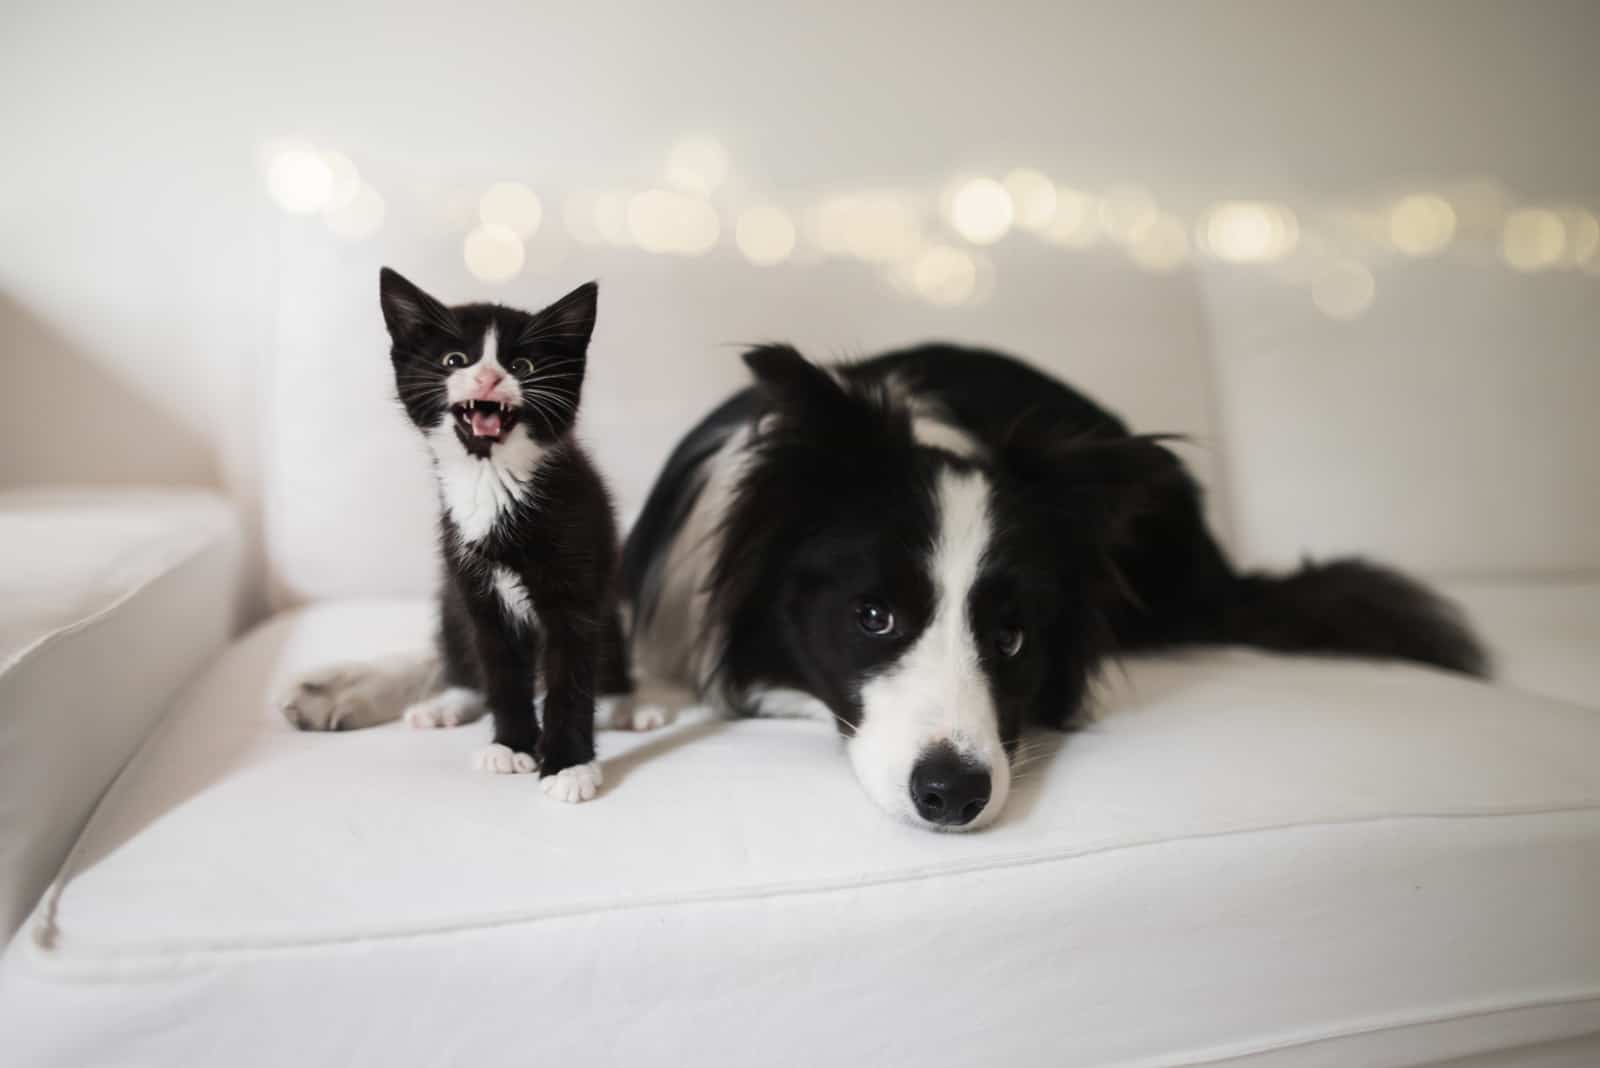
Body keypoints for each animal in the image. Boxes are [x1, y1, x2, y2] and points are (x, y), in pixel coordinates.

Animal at [371, 267, 627, 799]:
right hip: (450, 598)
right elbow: (501, 669)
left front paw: (568, 765)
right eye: (455, 360)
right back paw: (447, 704)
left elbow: (571, 676)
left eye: (522, 364)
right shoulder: (474, 586)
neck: (490, 478)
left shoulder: (577, 582)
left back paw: (625, 704)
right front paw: (511, 745)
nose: (489, 377)